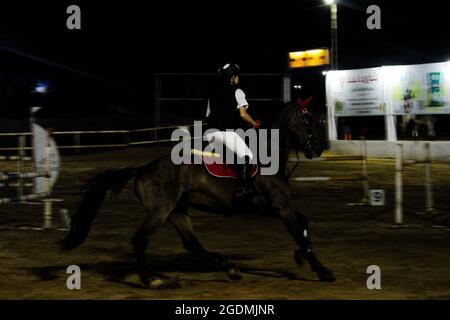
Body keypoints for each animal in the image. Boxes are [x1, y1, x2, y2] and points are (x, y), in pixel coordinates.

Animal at [60, 102, 334, 288]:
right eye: (307, 122)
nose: (319, 148)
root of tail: (143, 168)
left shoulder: (272, 208)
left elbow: (304, 225)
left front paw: (302, 258)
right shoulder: (280, 207)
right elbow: (299, 232)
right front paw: (322, 270)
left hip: (177, 211)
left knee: (192, 244)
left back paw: (230, 269)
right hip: (161, 211)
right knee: (141, 240)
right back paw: (150, 280)